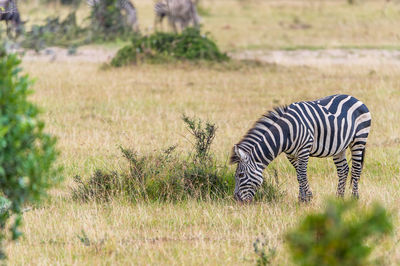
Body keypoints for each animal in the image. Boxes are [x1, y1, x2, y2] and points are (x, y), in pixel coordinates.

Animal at [231, 94, 372, 203]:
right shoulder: (291, 155)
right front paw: (302, 199)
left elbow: (302, 175)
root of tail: (355, 98)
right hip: (340, 146)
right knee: (343, 170)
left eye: (240, 175)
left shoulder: (304, 149)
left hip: (359, 140)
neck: (285, 133)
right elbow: (298, 174)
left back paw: (354, 198)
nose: (236, 199)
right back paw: (339, 198)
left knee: (356, 169)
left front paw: (308, 198)